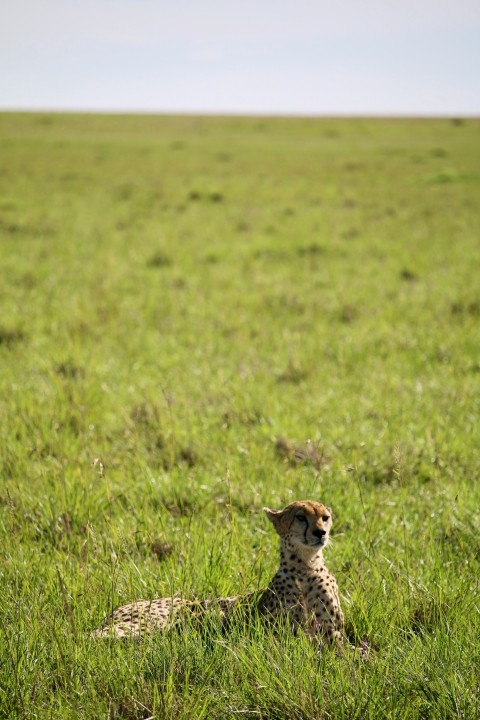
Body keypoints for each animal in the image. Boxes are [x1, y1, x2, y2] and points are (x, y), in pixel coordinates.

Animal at [94, 498, 344, 644]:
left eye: (325, 517)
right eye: (301, 517)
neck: (305, 565)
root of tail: (117, 609)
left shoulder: (331, 634)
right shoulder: (278, 633)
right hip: (150, 624)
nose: (321, 532)